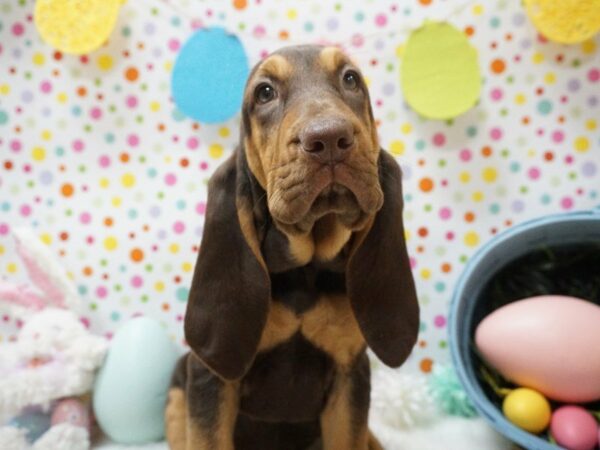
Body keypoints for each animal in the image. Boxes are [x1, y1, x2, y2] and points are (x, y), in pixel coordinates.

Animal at [164, 44, 418, 450]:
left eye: (351, 79)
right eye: (265, 92)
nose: (329, 139)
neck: (305, 268)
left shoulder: (350, 375)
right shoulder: (211, 379)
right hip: (177, 391)